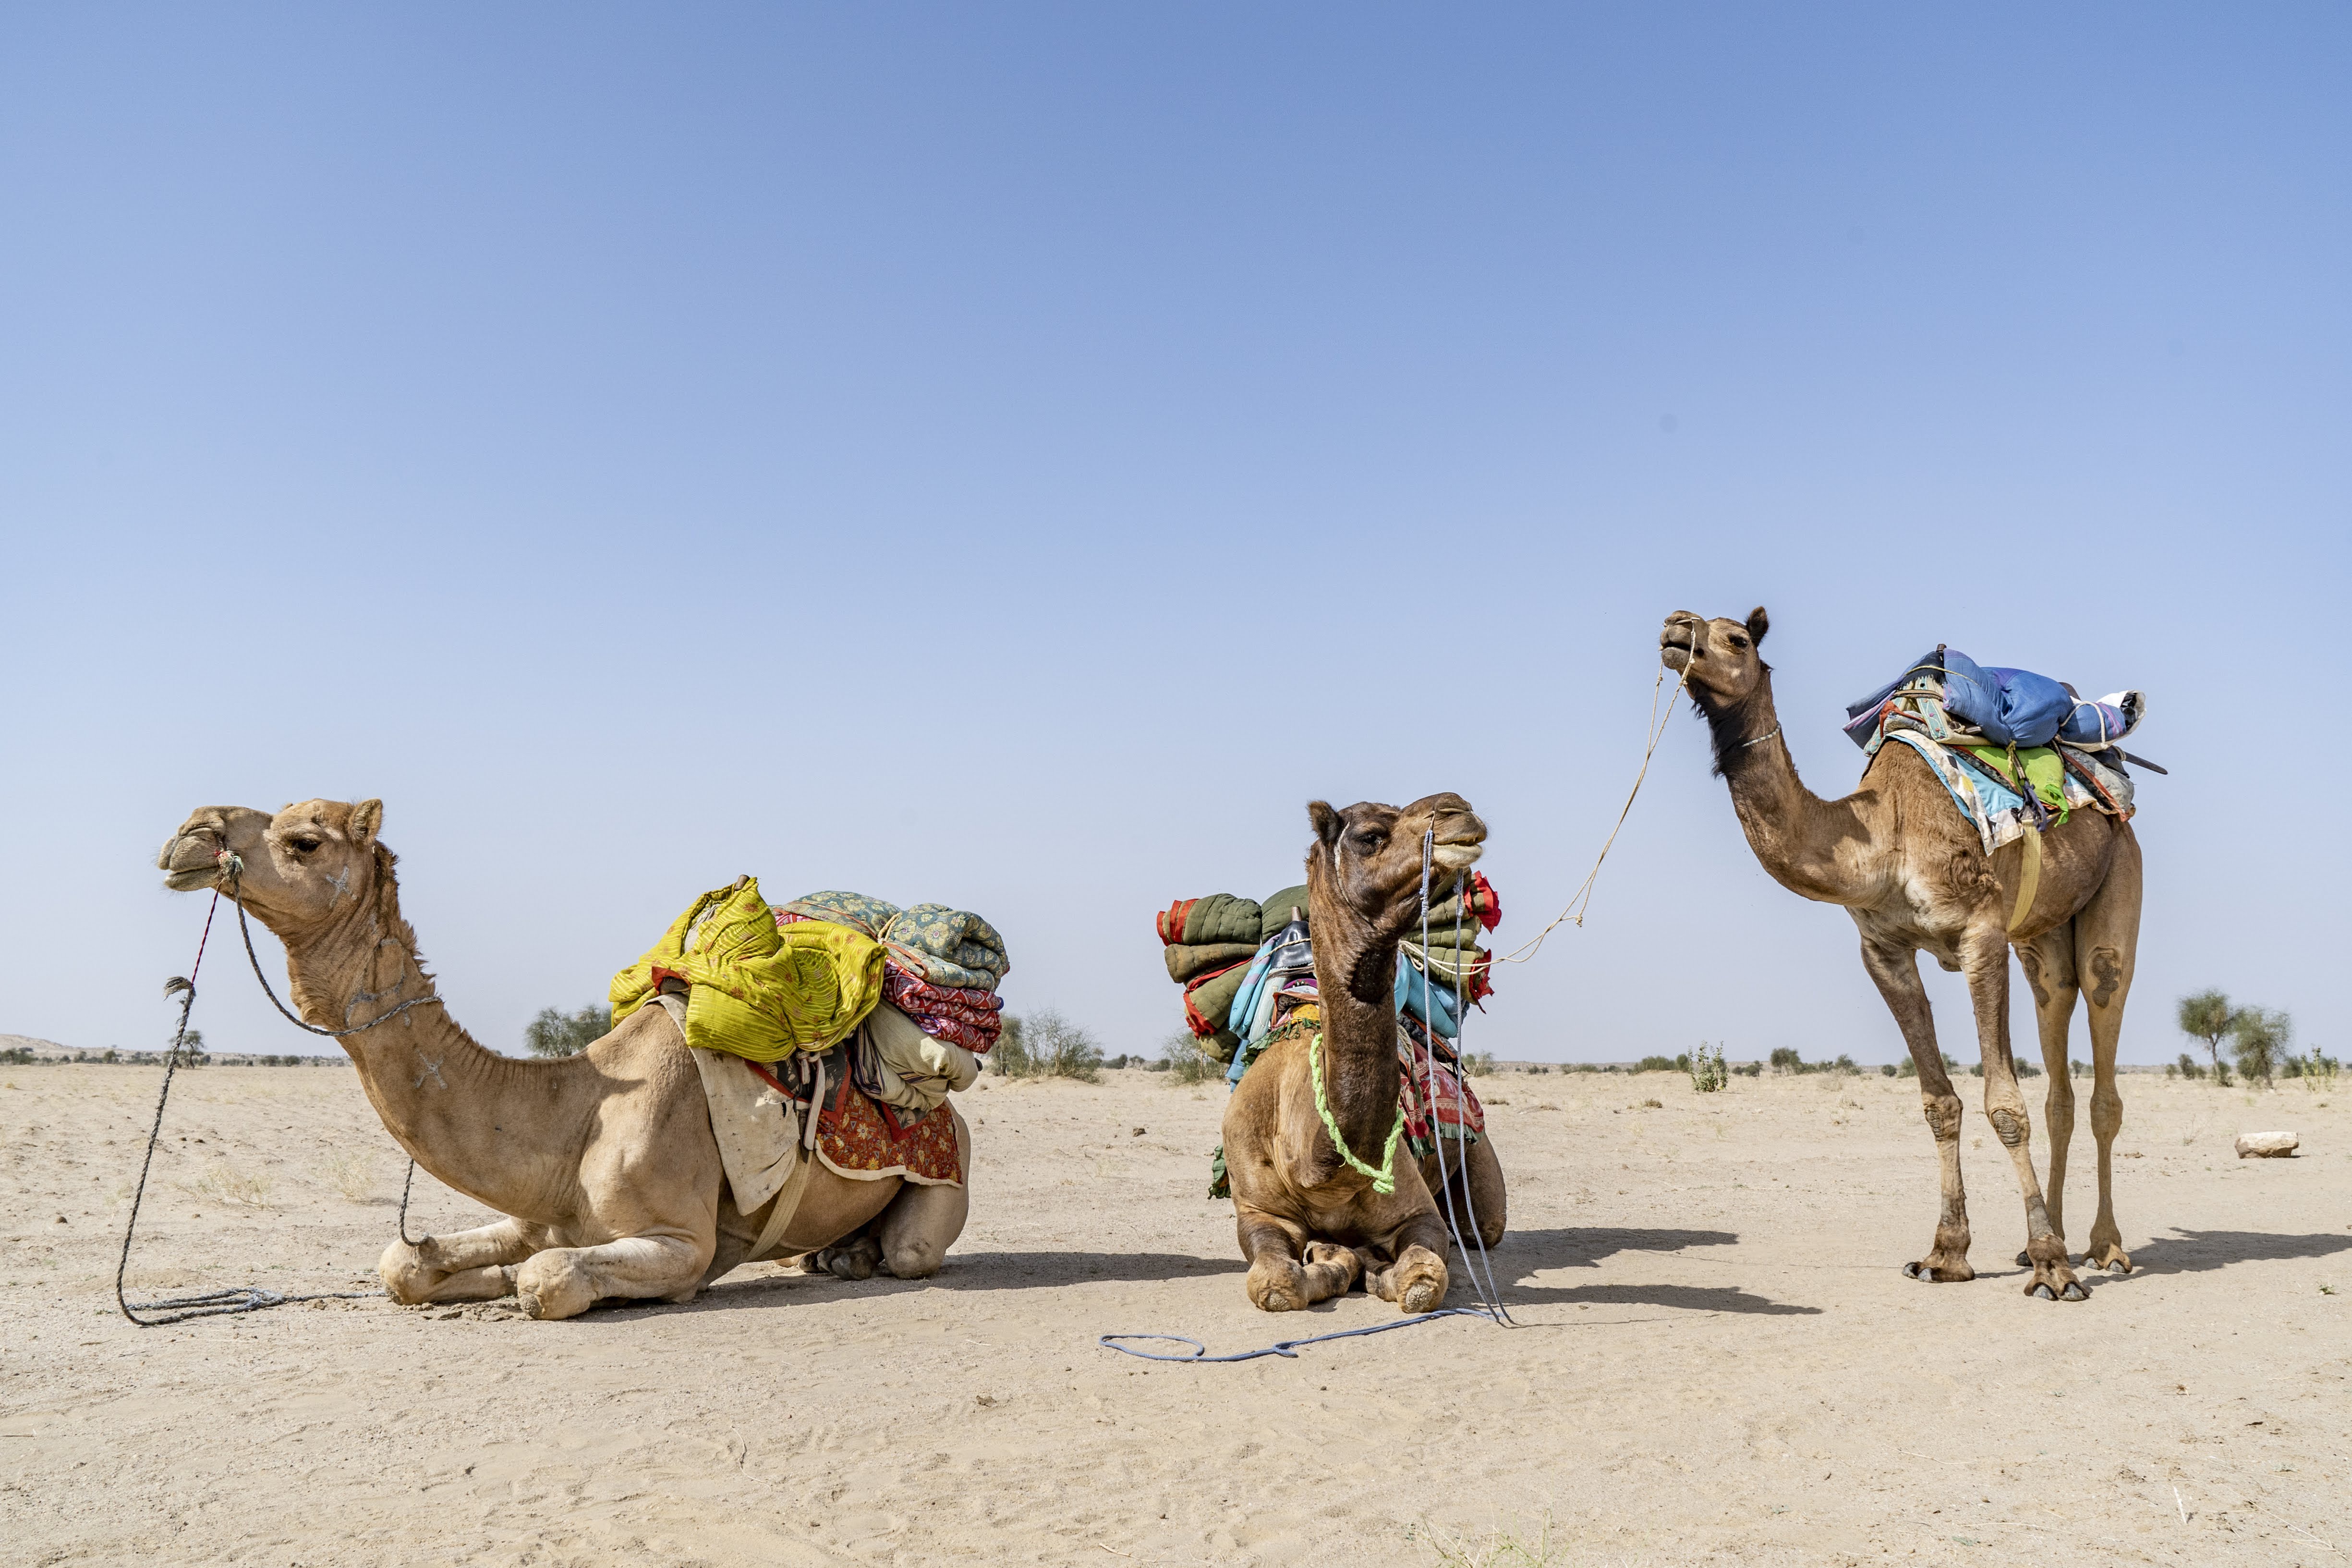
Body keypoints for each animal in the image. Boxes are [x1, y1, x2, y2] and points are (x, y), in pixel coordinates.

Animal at [156, 799, 969, 1325]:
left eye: (305, 842)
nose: (189, 833)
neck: (575, 1107)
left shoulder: (682, 1238)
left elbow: (547, 1282)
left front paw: (524, 1282)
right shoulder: (541, 1208)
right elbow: (403, 1262)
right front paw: (477, 1275)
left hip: (945, 1182)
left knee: (911, 1250)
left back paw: (854, 1260)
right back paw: (828, 1258)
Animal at [1223, 790, 1515, 1316]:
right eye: (1370, 836)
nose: (1457, 809)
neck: (1316, 1166)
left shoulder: (1417, 1212)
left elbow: (1422, 1279)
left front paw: (1369, 1265)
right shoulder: (1258, 1211)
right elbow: (1276, 1285)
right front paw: (1333, 1259)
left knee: (1483, 1226)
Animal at [1656, 611, 2154, 1298]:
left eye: (1737, 639)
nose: (1675, 629)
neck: (1879, 838)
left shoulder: (1980, 935)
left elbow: (2004, 1105)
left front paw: (2053, 1267)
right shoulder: (1884, 951)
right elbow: (1939, 1104)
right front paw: (1946, 1254)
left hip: (2118, 886)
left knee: (2104, 1036)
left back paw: (2102, 1248)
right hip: (2041, 939)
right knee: (2058, 1056)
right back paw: (2047, 1240)